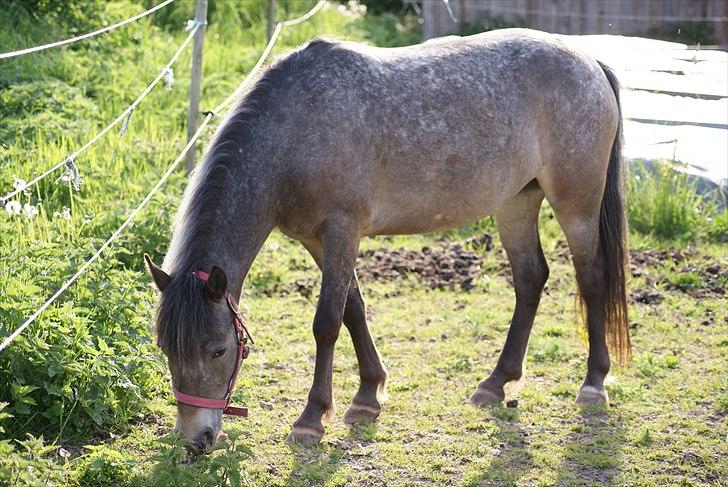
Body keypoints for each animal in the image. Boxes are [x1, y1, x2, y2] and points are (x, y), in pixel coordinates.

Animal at [145, 27, 628, 454]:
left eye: (219, 349)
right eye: (165, 348)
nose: (194, 442)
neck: (295, 128)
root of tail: (590, 63)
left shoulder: (342, 229)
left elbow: (326, 323)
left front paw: (311, 419)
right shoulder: (318, 240)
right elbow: (353, 309)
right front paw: (367, 396)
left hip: (576, 205)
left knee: (591, 278)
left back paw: (593, 383)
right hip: (516, 202)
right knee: (530, 279)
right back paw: (495, 383)